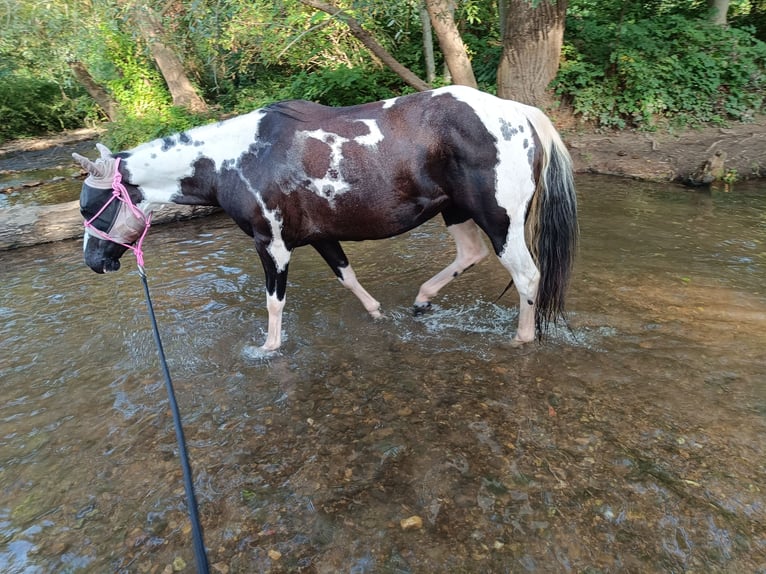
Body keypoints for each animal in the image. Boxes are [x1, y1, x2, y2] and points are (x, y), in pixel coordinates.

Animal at [74, 85, 577, 352]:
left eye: (87, 206)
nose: (95, 262)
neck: (235, 159)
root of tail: (520, 113)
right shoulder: (319, 237)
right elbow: (348, 278)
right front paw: (377, 313)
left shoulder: (272, 245)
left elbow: (274, 303)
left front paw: (268, 349)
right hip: (455, 211)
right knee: (470, 254)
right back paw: (421, 301)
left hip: (499, 220)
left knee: (527, 276)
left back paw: (522, 340)